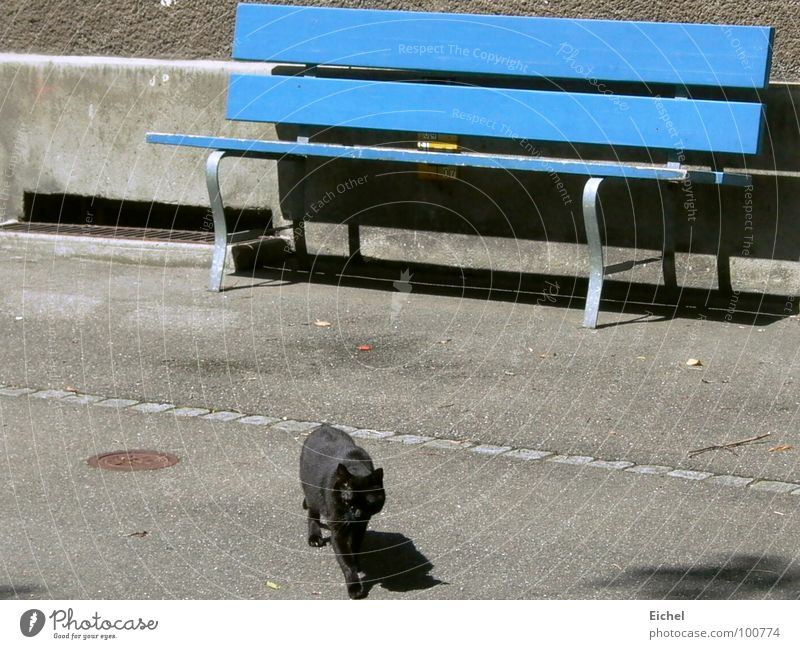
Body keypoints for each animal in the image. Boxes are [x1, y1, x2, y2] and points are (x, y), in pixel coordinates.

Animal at [302, 426, 386, 596]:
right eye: (348, 501)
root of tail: (323, 426)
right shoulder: (338, 529)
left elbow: (355, 546)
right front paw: (354, 587)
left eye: (368, 502)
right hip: (311, 493)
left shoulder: (361, 526)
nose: (357, 514)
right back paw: (314, 537)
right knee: (312, 513)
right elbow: (345, 559)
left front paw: (357, 564)